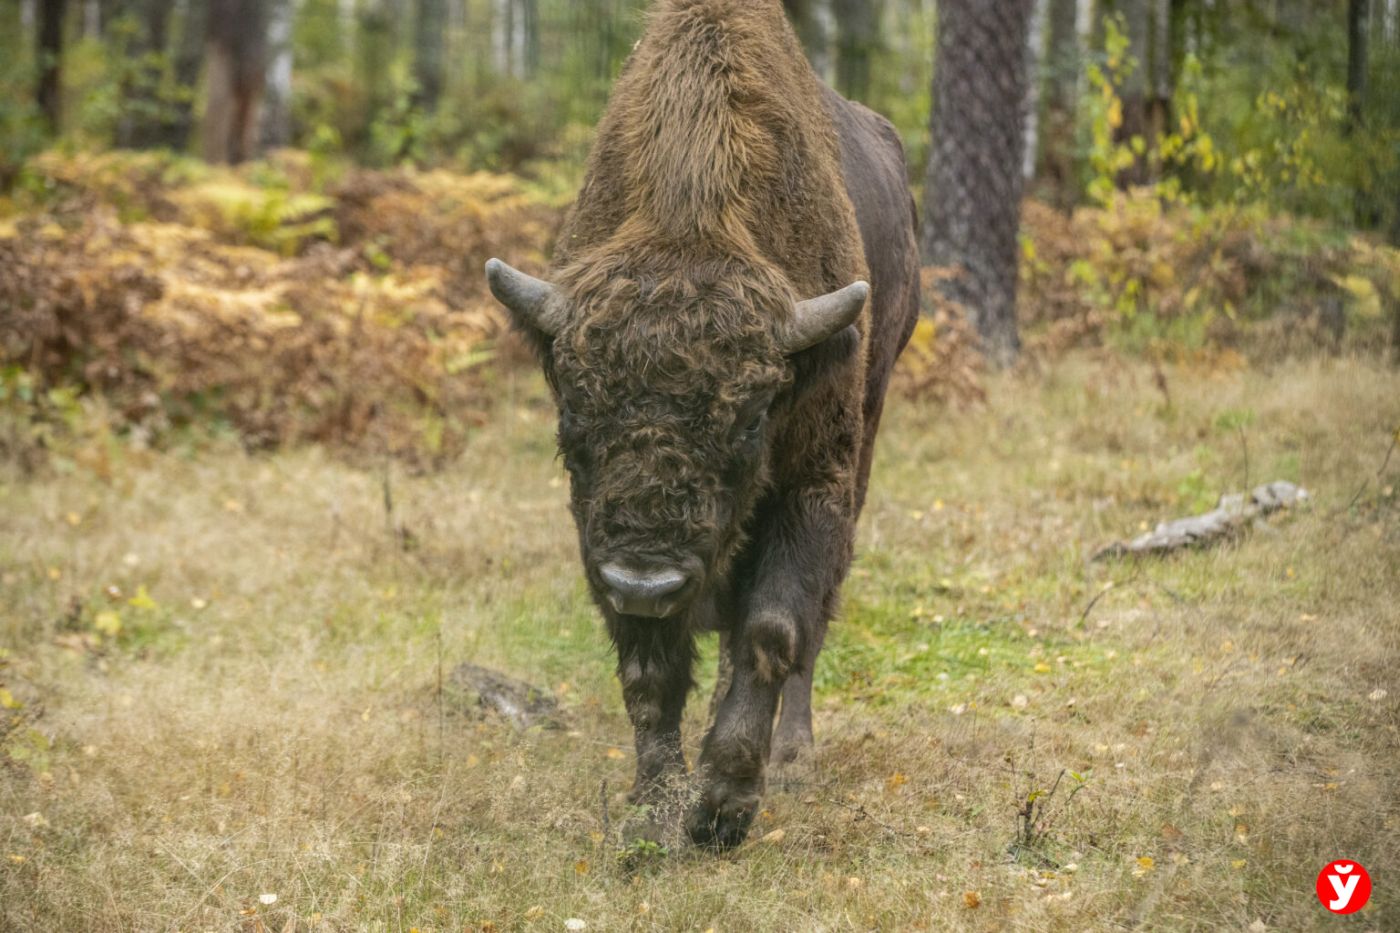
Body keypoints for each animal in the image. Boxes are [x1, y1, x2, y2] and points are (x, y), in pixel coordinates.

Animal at [484, 0, 918, 846]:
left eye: (749, 424)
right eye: (572, 414)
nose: (647, 580)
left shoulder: (812, 480)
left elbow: (774, 628)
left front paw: (723, 804)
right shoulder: (601, 538)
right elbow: (648, 664)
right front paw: (657, 804)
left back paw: (793, 758)